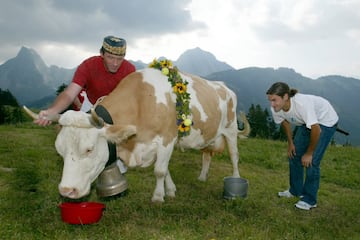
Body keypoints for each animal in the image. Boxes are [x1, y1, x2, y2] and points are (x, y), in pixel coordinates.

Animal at [23, 67, 250, 202]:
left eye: (89, 149)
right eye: (60, 152)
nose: (66, 191)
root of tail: (224, 86)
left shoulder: (167, 138)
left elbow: (159, 170)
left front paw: (158, 197)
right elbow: (165, 168)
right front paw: (170, 190)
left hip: (230, 130)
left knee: (234, 156)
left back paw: (236, 180)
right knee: (206, 154)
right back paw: (202, 177)